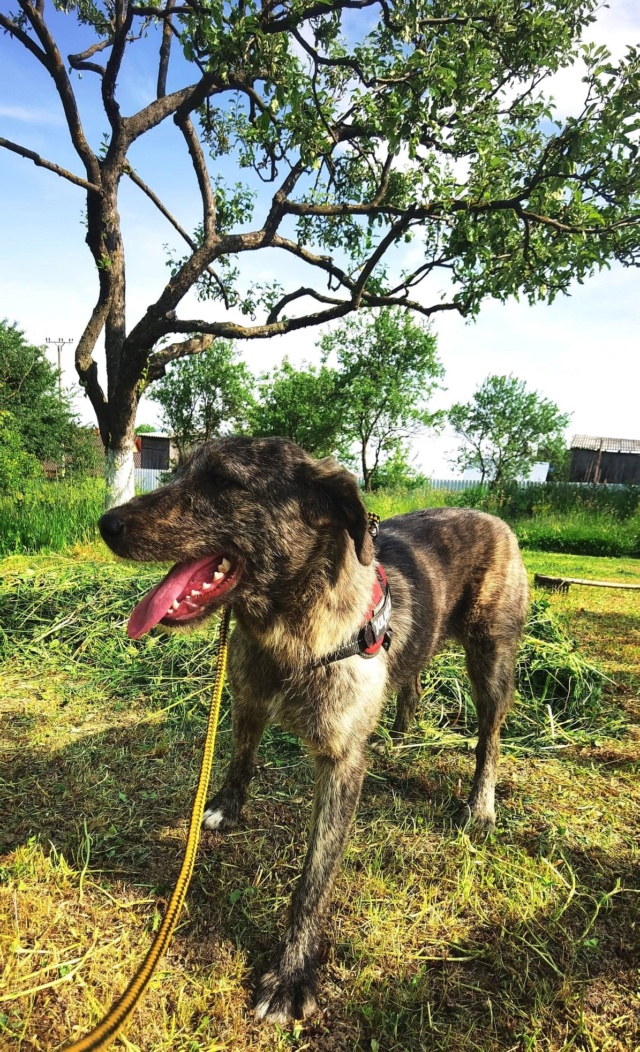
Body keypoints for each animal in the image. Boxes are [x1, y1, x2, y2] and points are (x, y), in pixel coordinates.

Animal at [98, 433, 530, 1018]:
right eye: (178, 470)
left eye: (223, 480)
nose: (106, 523)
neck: (289, 630)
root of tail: (493, 517)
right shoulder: (248, 699)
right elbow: (241, 756)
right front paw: (226, 807)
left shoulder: (341, 765)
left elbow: (314, 881)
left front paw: (291, 973)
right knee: (412, 680)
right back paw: (400, 736)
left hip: (492, 661)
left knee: (490, 738)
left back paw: (480, 804)